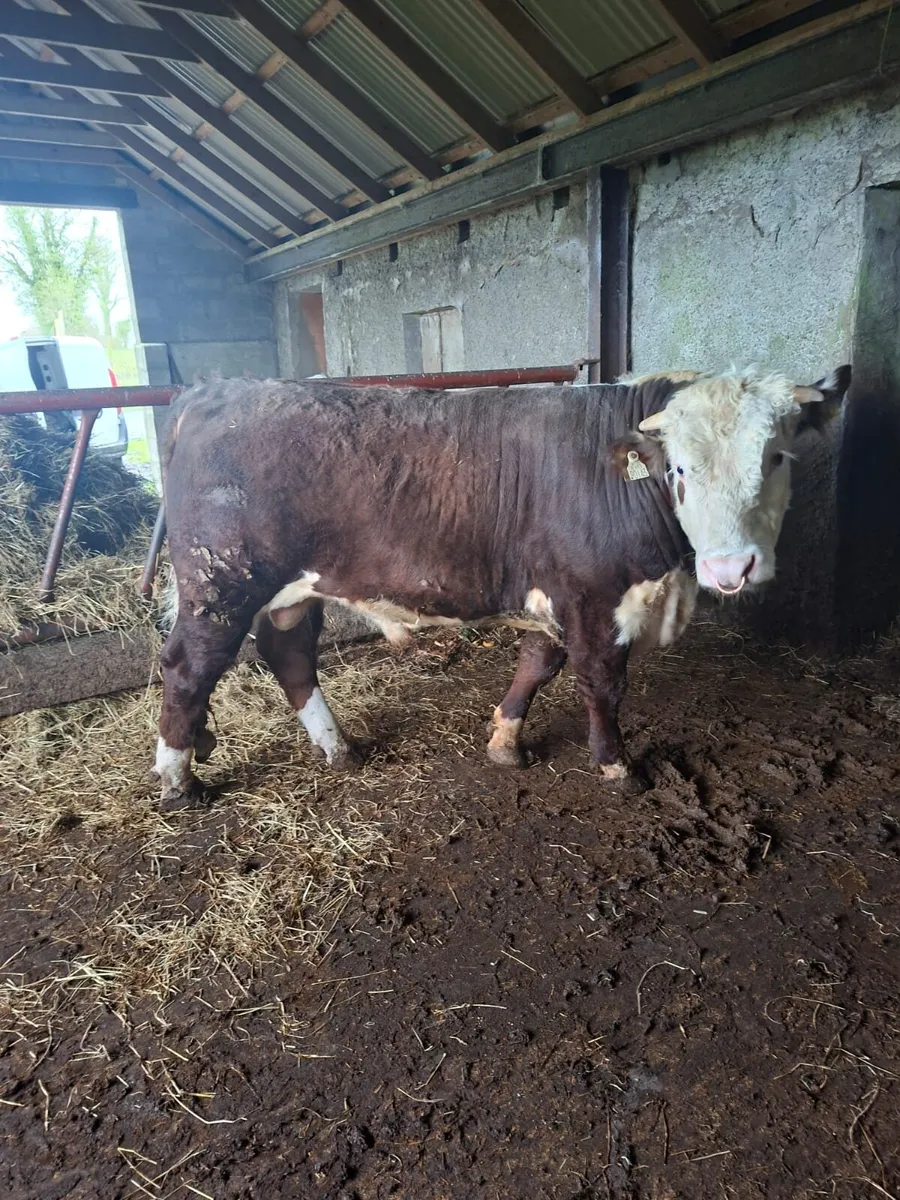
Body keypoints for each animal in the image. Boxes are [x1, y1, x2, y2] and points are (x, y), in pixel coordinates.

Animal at [153, 364, 850, 805]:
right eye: (679, 467)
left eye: (777, 456)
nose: (733, 568)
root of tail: (213, 390)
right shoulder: (594, 597)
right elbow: (603, 684)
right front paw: (616, 766)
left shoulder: (556, 592)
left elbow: (537, 664)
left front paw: (505, 740)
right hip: (221, 582)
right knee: (188, 667)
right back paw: (179, 781)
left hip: (292, 590)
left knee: (289, 653)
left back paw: (338, 747)